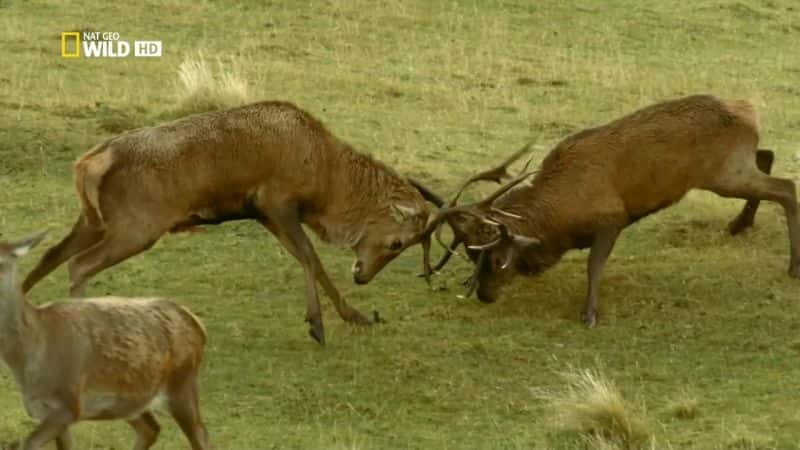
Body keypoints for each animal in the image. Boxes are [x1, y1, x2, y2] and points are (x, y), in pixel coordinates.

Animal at [0, 232, 209, 450]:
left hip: (182, 383)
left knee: (201, 437)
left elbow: (29, 442)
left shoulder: (69, 405)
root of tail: (198, 324)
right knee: (151, 428)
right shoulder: (46, 411)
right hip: (128, 401)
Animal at [21, 100, 440, 342]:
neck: (326, 181)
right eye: (397, 242)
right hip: (137, 226)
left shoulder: (266, 215)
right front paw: (318, 325)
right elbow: (310, 256)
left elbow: (311, 262)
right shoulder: (278, 202)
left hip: (95, 220)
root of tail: (90, 162)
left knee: (49, 256)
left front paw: (356, 316)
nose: (362, 275)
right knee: (78, 264)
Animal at [422, 95, 796, 326]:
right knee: (768, 154)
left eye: (500, 259)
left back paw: (792, 265)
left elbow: (594, 266)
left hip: (724, 172)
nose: (484, 296)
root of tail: (749, 110)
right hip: (734, 166)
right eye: (472, 255)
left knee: (788, 187)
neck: (560, 219)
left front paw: (589, 314)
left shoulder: (611, 218)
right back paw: (740, 224)